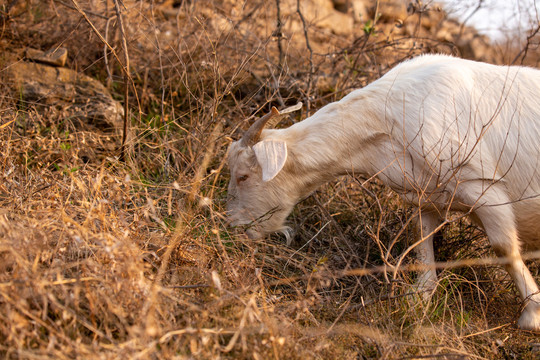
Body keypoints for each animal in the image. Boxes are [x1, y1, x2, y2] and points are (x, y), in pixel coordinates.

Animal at [226, 54, 540, 332]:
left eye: (243, 176)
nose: (236, 229)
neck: (388, 115)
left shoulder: (485, 187)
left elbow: (503, 247)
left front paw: (532, 315)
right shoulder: (426, 195)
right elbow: (421, 241)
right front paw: (418, 298)